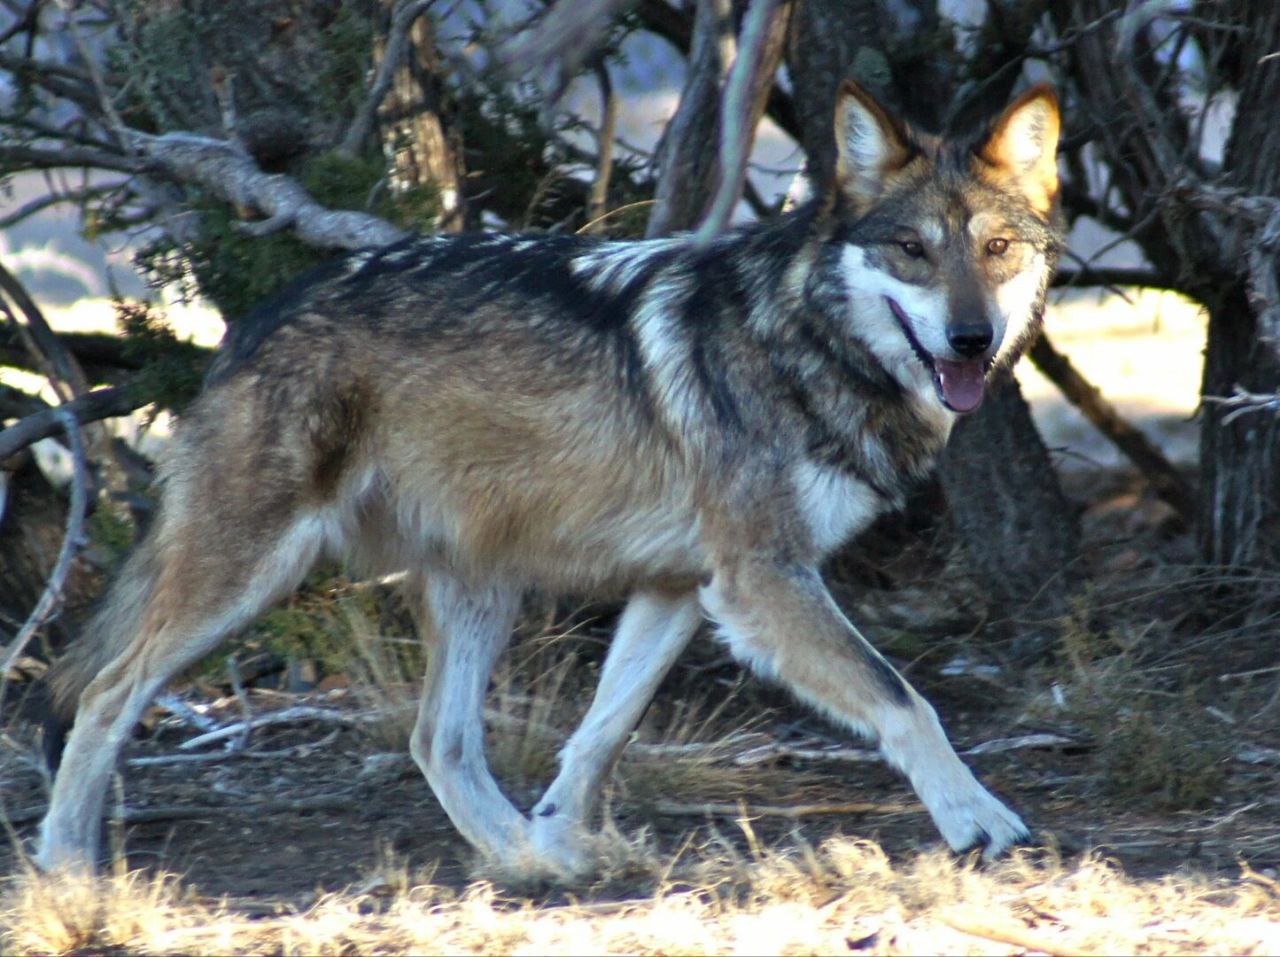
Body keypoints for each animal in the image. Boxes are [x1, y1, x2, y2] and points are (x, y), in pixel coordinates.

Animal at [37, 82, 1059, 875]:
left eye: (998, 249)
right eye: (913, 250)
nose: (971, 339)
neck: (801, 339)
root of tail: (246, 324)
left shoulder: (682, 586)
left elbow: (601, 735)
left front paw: (562, 834)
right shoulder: (762, 579)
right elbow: (905, 699)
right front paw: (979, 821)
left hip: (480, 589)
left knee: (438, 740)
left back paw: (529, 861)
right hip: (251, 577)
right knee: (102, 693)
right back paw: (66, 865)